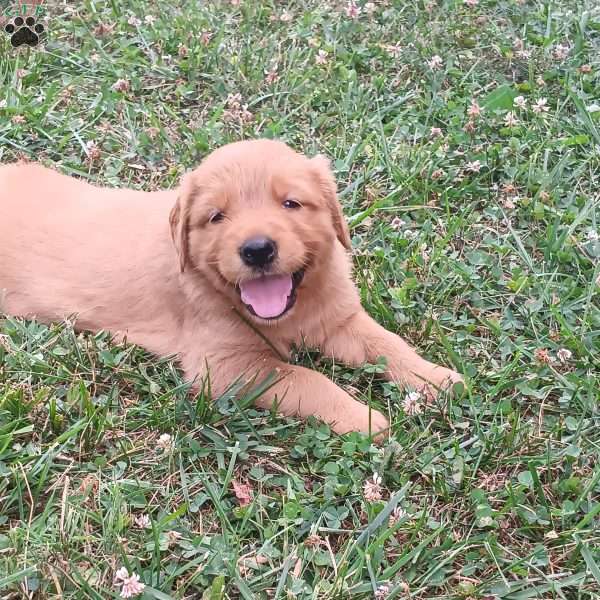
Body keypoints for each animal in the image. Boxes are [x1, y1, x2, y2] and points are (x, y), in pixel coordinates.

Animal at [0, 143, 464, 438]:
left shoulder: (341, 319)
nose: (257, 250)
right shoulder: (226, 367)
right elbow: (306, 376)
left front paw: (435, 378)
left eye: (291, 203)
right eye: (216, 217)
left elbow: (388, 342)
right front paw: (361, 417)